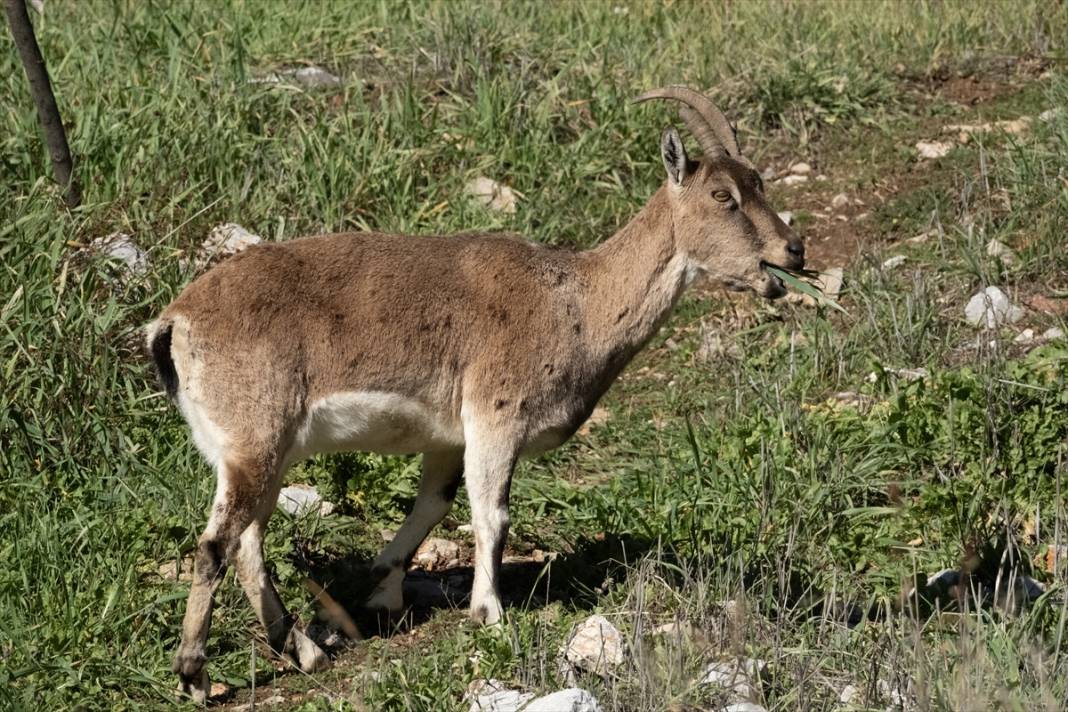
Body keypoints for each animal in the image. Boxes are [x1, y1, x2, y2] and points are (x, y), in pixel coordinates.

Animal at [148, 84, 803, 700]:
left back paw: (305, 651)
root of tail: (176, 323)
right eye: (722, 195)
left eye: (760, 182)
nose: (791, 252)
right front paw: (490, 614)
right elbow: (493, 514)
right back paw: (195, 674)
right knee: (217, 546)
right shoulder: (496, 416)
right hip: (256, 441)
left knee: (247, 543)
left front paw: (382, 589)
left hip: (256, 452)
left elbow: (432, 505)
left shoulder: (448, 437)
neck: (575, 303)